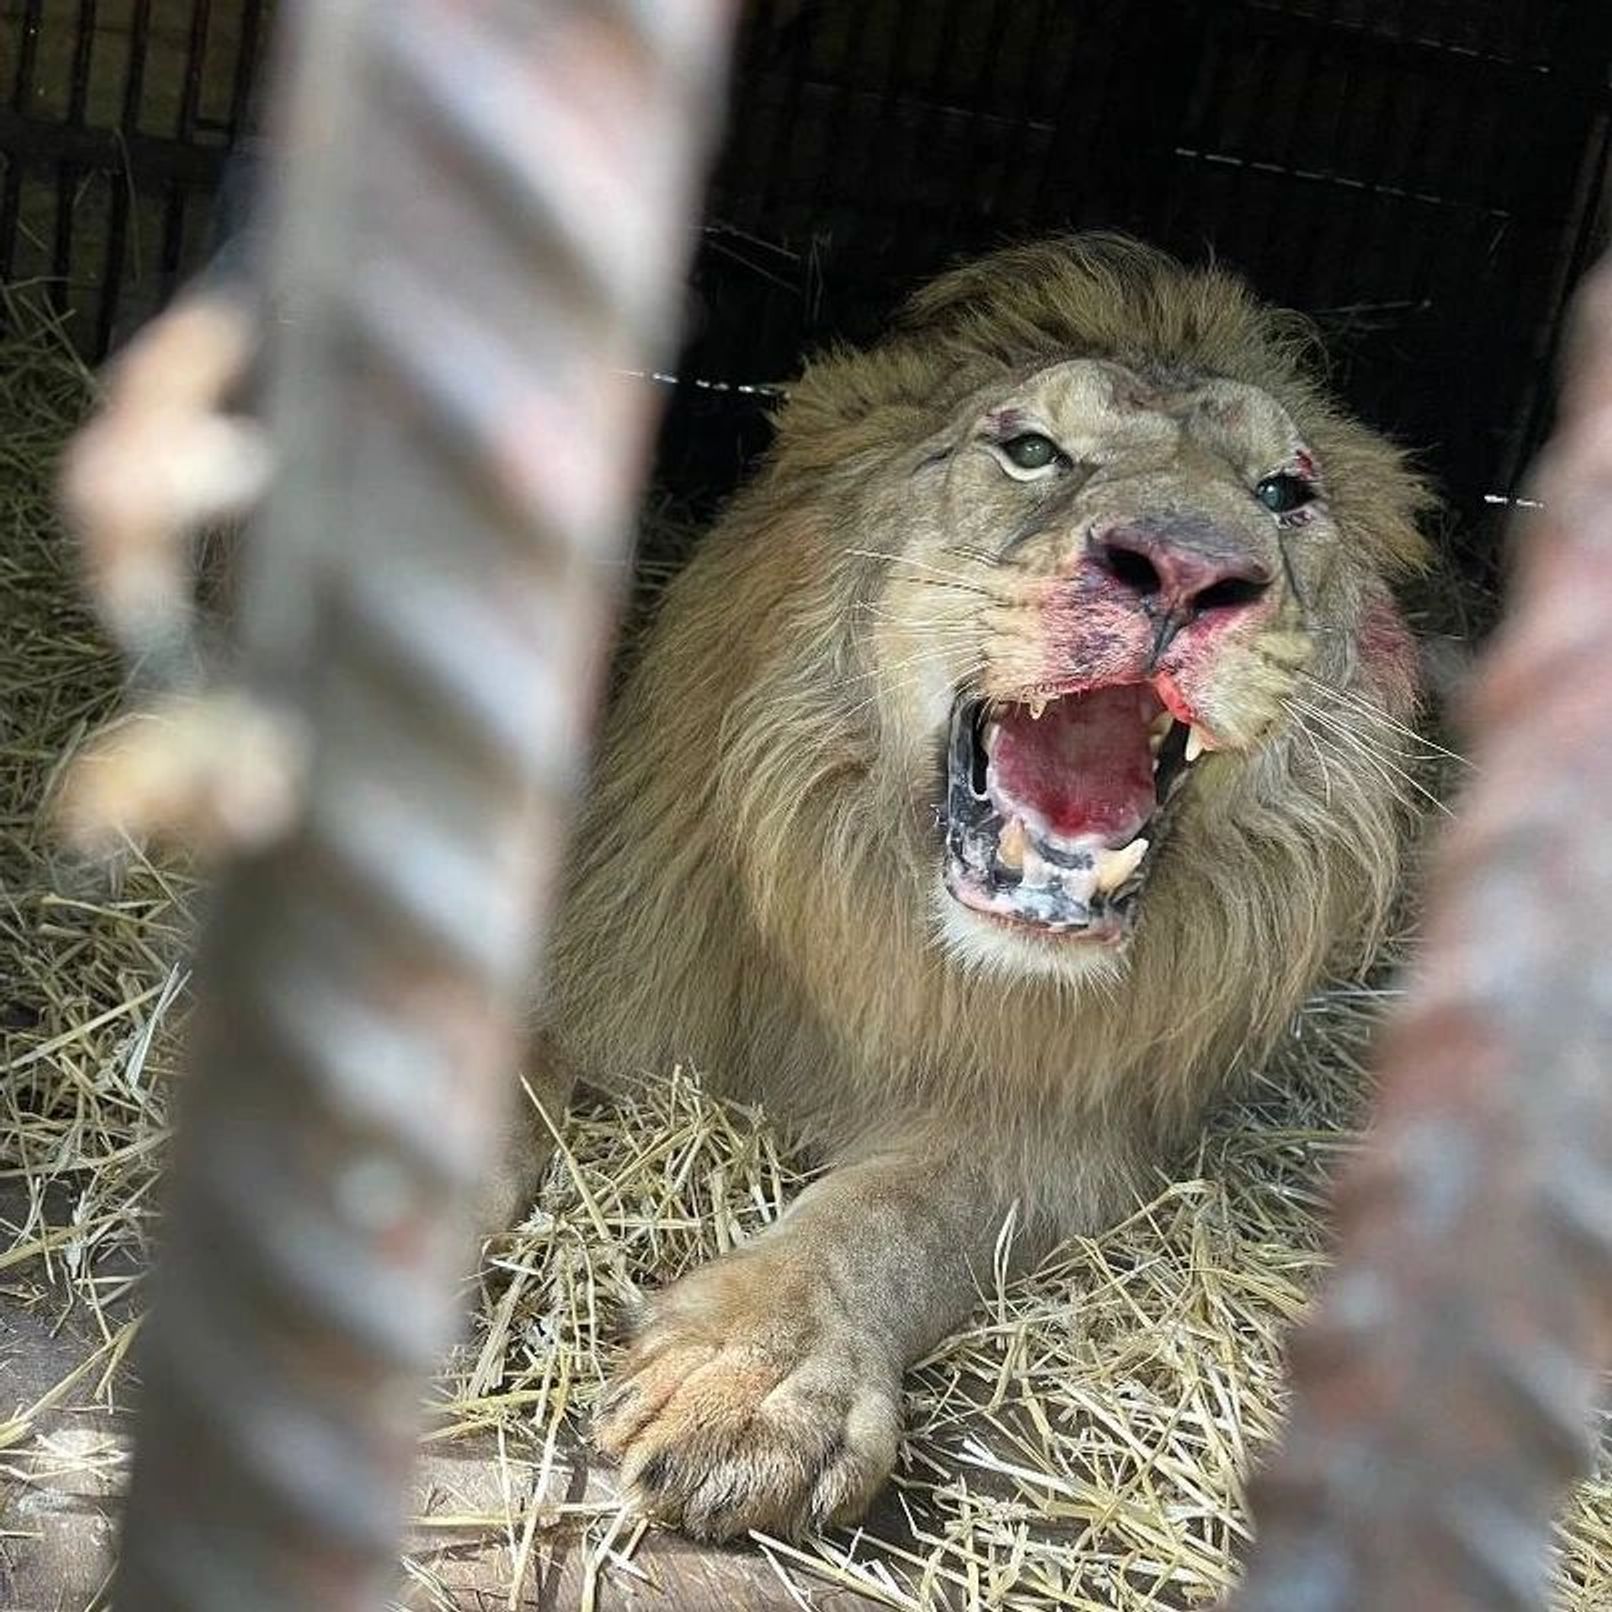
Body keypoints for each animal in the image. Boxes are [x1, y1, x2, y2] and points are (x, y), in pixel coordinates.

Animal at [496, 233, 1431, 1541]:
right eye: (1029, 448)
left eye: (1285, 494)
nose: (1188, 570)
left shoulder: (1058, 1115)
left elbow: (893, 1214)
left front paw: (756, 1376)